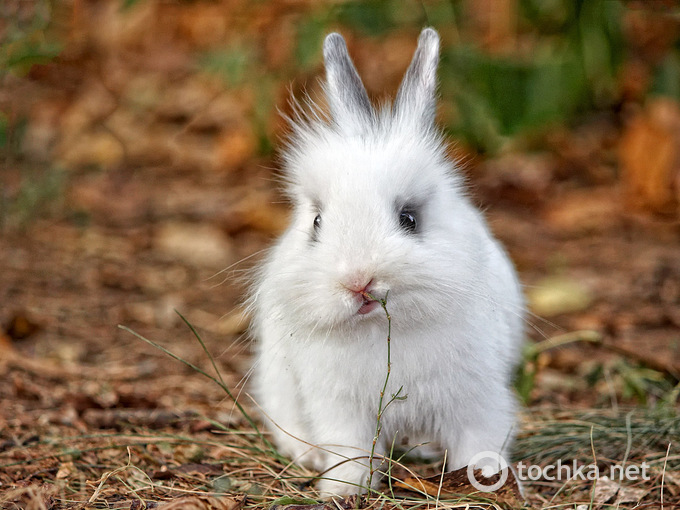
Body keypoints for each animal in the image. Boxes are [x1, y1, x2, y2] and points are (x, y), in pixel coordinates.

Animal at [251, 28, 524, 498]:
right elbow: (351, 452)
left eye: (409, 219)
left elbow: (479, 440)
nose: (358, 280)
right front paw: (342, 490)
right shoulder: (340, 409)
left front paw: (485, 476)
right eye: (317, 223)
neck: (382, 330)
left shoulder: (476, 399)